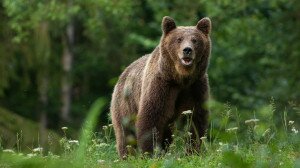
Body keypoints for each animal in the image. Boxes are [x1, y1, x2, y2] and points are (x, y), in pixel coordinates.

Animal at [110, 15, 211, 158]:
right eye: (179, 39)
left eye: (195, 40)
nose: (187, 50)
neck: (180, 78)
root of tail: (124, 73)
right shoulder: (161, 85)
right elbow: (151, 118)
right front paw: (150, 153)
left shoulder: (196, 87)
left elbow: (196, 119)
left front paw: (192, 151)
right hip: (125, 104)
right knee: (125, 132)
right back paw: (127, 156)